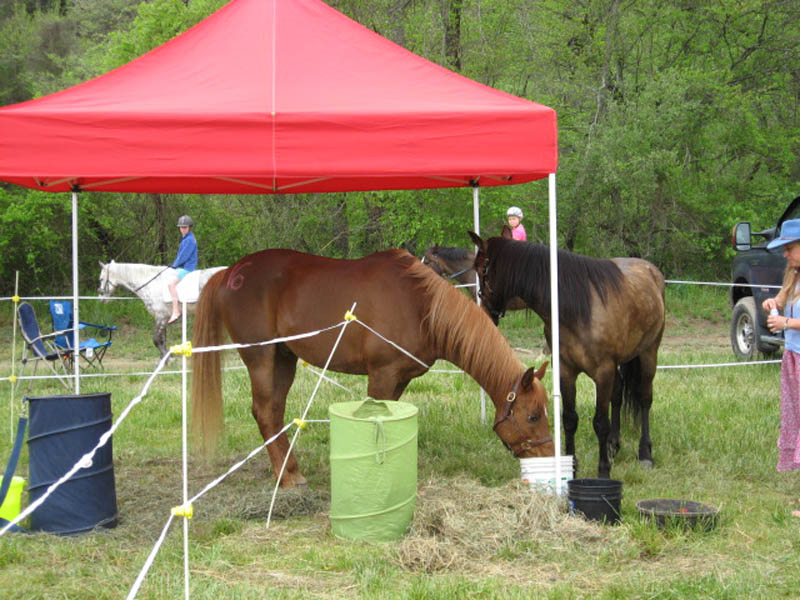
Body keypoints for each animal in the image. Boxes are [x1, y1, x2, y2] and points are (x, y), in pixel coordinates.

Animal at [99, 262, 227, 356]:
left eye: (100, 279)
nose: (100, 298)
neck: (152, 283)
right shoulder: (164, 318)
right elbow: (162, 339)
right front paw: (165, 358)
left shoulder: (161, 317)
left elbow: (156, 339)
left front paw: (168, 359)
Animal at [195, 248, 556, 488]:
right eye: (532, 416)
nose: (550, 455)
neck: (419, 306)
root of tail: (231, 272)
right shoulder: (381, 376)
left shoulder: (398, 381)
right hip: (261, 357)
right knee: (264, 412)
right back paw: (288, 478)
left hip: (284, 359)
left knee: (273, 411)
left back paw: (290, 470)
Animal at [466, 227, 664, 480]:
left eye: (481, 270)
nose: (484, 313)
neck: (577, 308)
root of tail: (651, 271)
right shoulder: (566, 370)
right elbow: (570, 419)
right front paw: (572, 468)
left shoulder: (603, 371)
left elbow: (600, 422)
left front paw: (603, 471)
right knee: (618, 396)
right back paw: (613, 446)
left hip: (648, 354)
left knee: (644, 398)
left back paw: (645, 453)